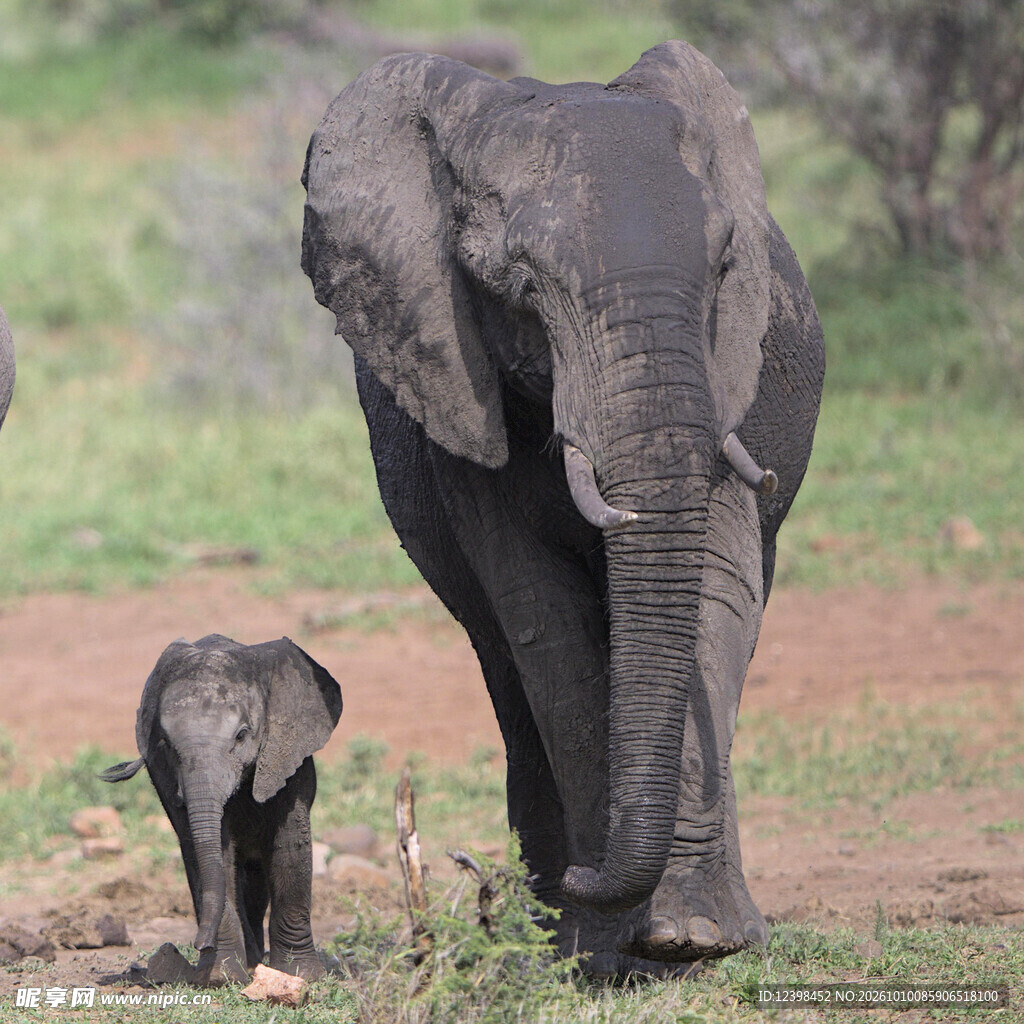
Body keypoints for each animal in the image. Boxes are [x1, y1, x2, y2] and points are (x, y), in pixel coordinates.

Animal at [102, 635, 342, 985]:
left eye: (241, 735)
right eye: (167, 745)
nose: (200, 943)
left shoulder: (286, 755)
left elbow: (290, 845)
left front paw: (302, 975)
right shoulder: (164, 774)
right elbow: (205, 853)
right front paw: (221, 978)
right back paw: (251, 962)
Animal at [301, 40, 824, 976]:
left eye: (727, 269)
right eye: (520, 287)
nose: (585, 877)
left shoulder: (729, 387)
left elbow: (714, 594)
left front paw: (695, 938)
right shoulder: (461, 400)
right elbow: (546, 625)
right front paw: (601, 946)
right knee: (506, 668)